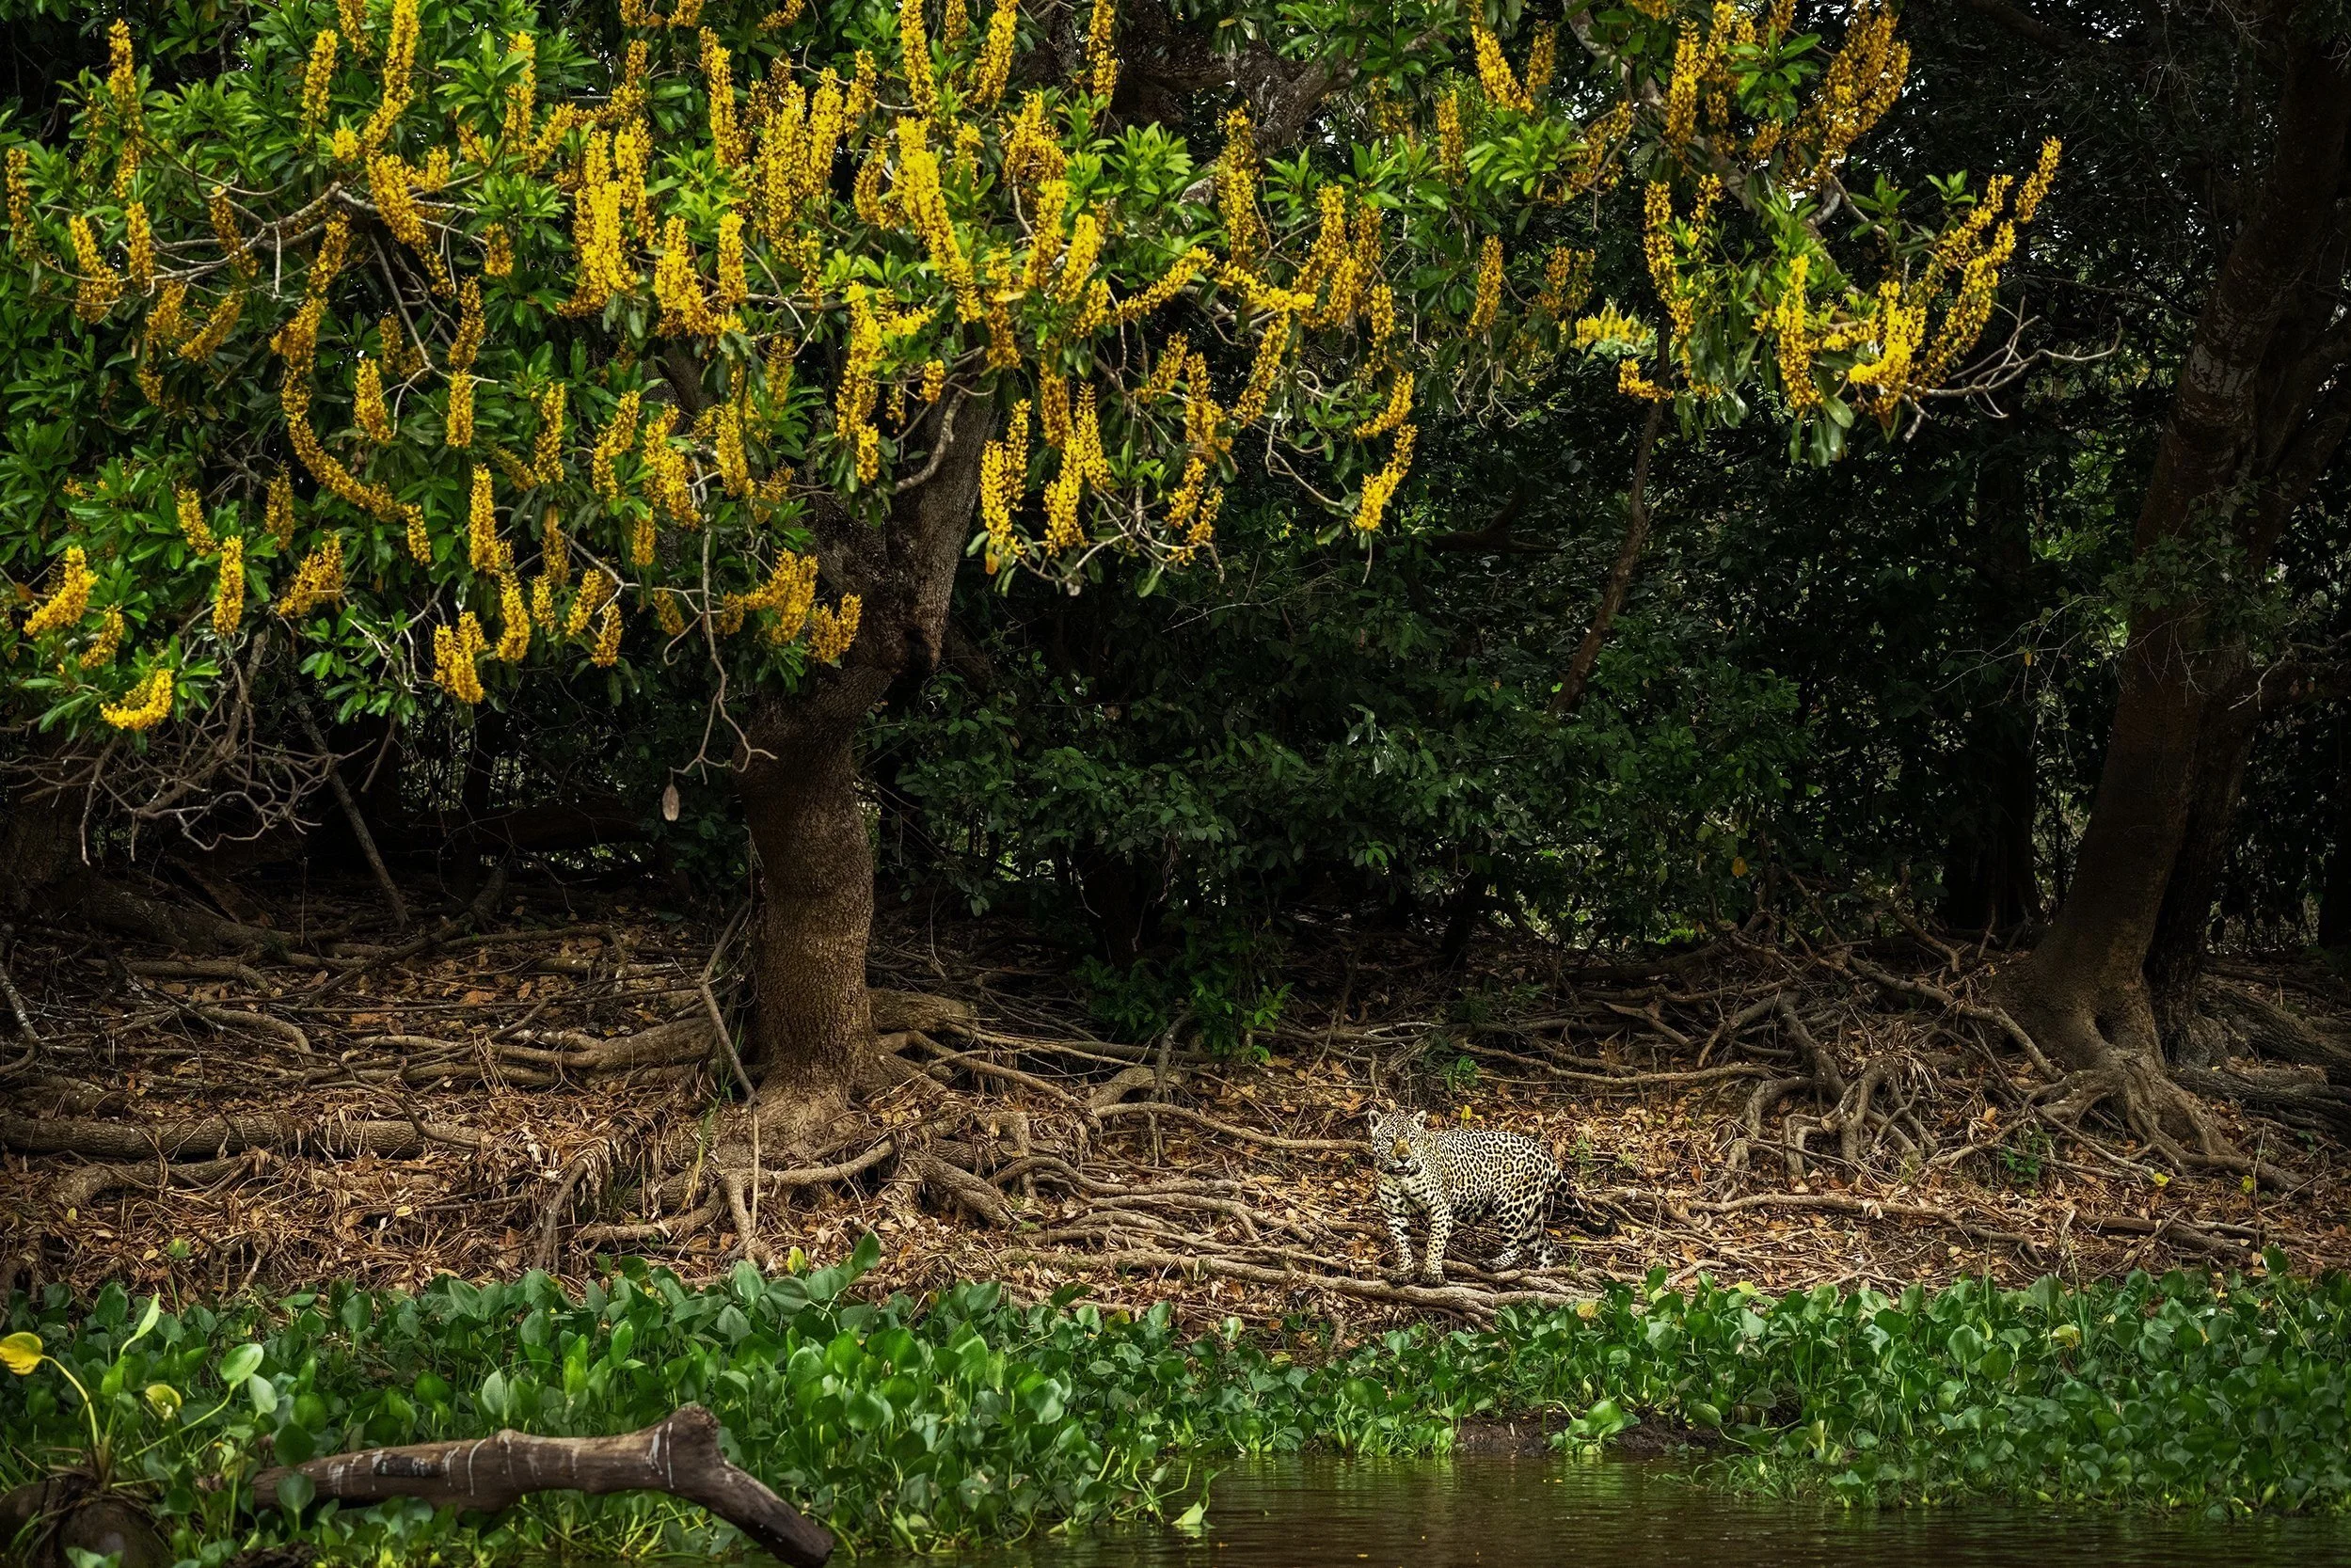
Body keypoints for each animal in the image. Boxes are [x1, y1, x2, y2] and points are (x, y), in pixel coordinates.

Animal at [1367, 1108, 1608, 1284]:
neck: (1401, 1177)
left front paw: (1433, 1273)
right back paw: (1543, 1276)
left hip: (1511, 1206)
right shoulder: (1394, 1213)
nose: (1404, 1158)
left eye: (1412, 1139)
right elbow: (1401, 1244)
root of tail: (1544, 1152)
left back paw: (1493, 1264)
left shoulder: (1441, 1209)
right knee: (1548, 1249)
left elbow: (1435, 1243)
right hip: (1531, 1215)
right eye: (1390, 1139)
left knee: (1516, 1248)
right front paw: (1404, 1271)